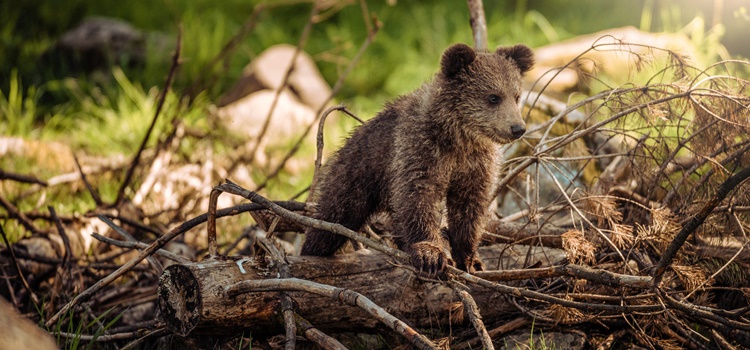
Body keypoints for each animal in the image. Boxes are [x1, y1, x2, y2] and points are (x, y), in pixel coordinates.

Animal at [300, 42, 536, 274]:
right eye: (493, 97)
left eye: (516, 96)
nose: (518, 128)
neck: (458, 138)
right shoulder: (420, 150)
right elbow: (419, 197)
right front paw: (430, 254)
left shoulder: (475, 164)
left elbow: (469, 206)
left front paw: (471, 259)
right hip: (356, 175)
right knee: (332, 219)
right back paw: (311, 251)